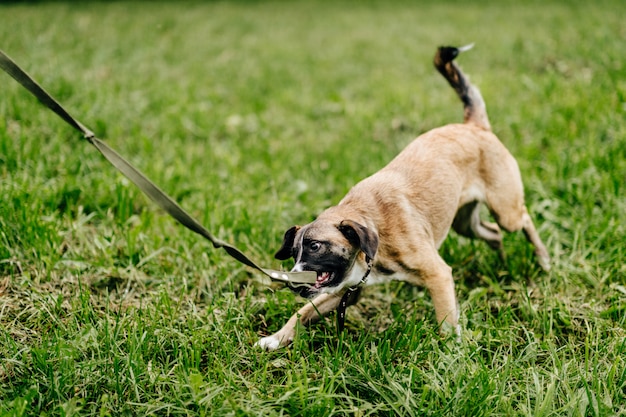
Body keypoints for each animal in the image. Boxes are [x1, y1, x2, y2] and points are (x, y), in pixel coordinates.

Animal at [254, 44, 544, 350]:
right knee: (493, 234)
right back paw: (502, 263)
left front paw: (451, 352)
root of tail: (473, 125)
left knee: (523, 220)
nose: (292, 282)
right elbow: (302, 311)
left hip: (505, 210)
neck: (372, 225)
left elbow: (447, 322)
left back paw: (543, 260)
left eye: (315, 246)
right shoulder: (343, 290)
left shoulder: (438, 276)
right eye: (294, 251)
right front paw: (276, 338)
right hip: (466, 224)